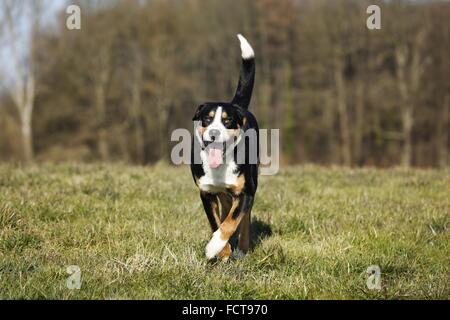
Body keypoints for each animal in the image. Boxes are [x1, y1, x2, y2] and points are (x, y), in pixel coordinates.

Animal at [191, 34, 260, 260]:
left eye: (228, 121)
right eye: (207, 118)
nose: (214, 133)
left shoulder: (246, 192)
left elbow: (232, 221)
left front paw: (214, 247)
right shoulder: (206, 192)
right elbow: (216, 223)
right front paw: (222, 250)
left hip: (252, 182)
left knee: (244, 218)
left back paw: (242, 247)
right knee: (226, 207)